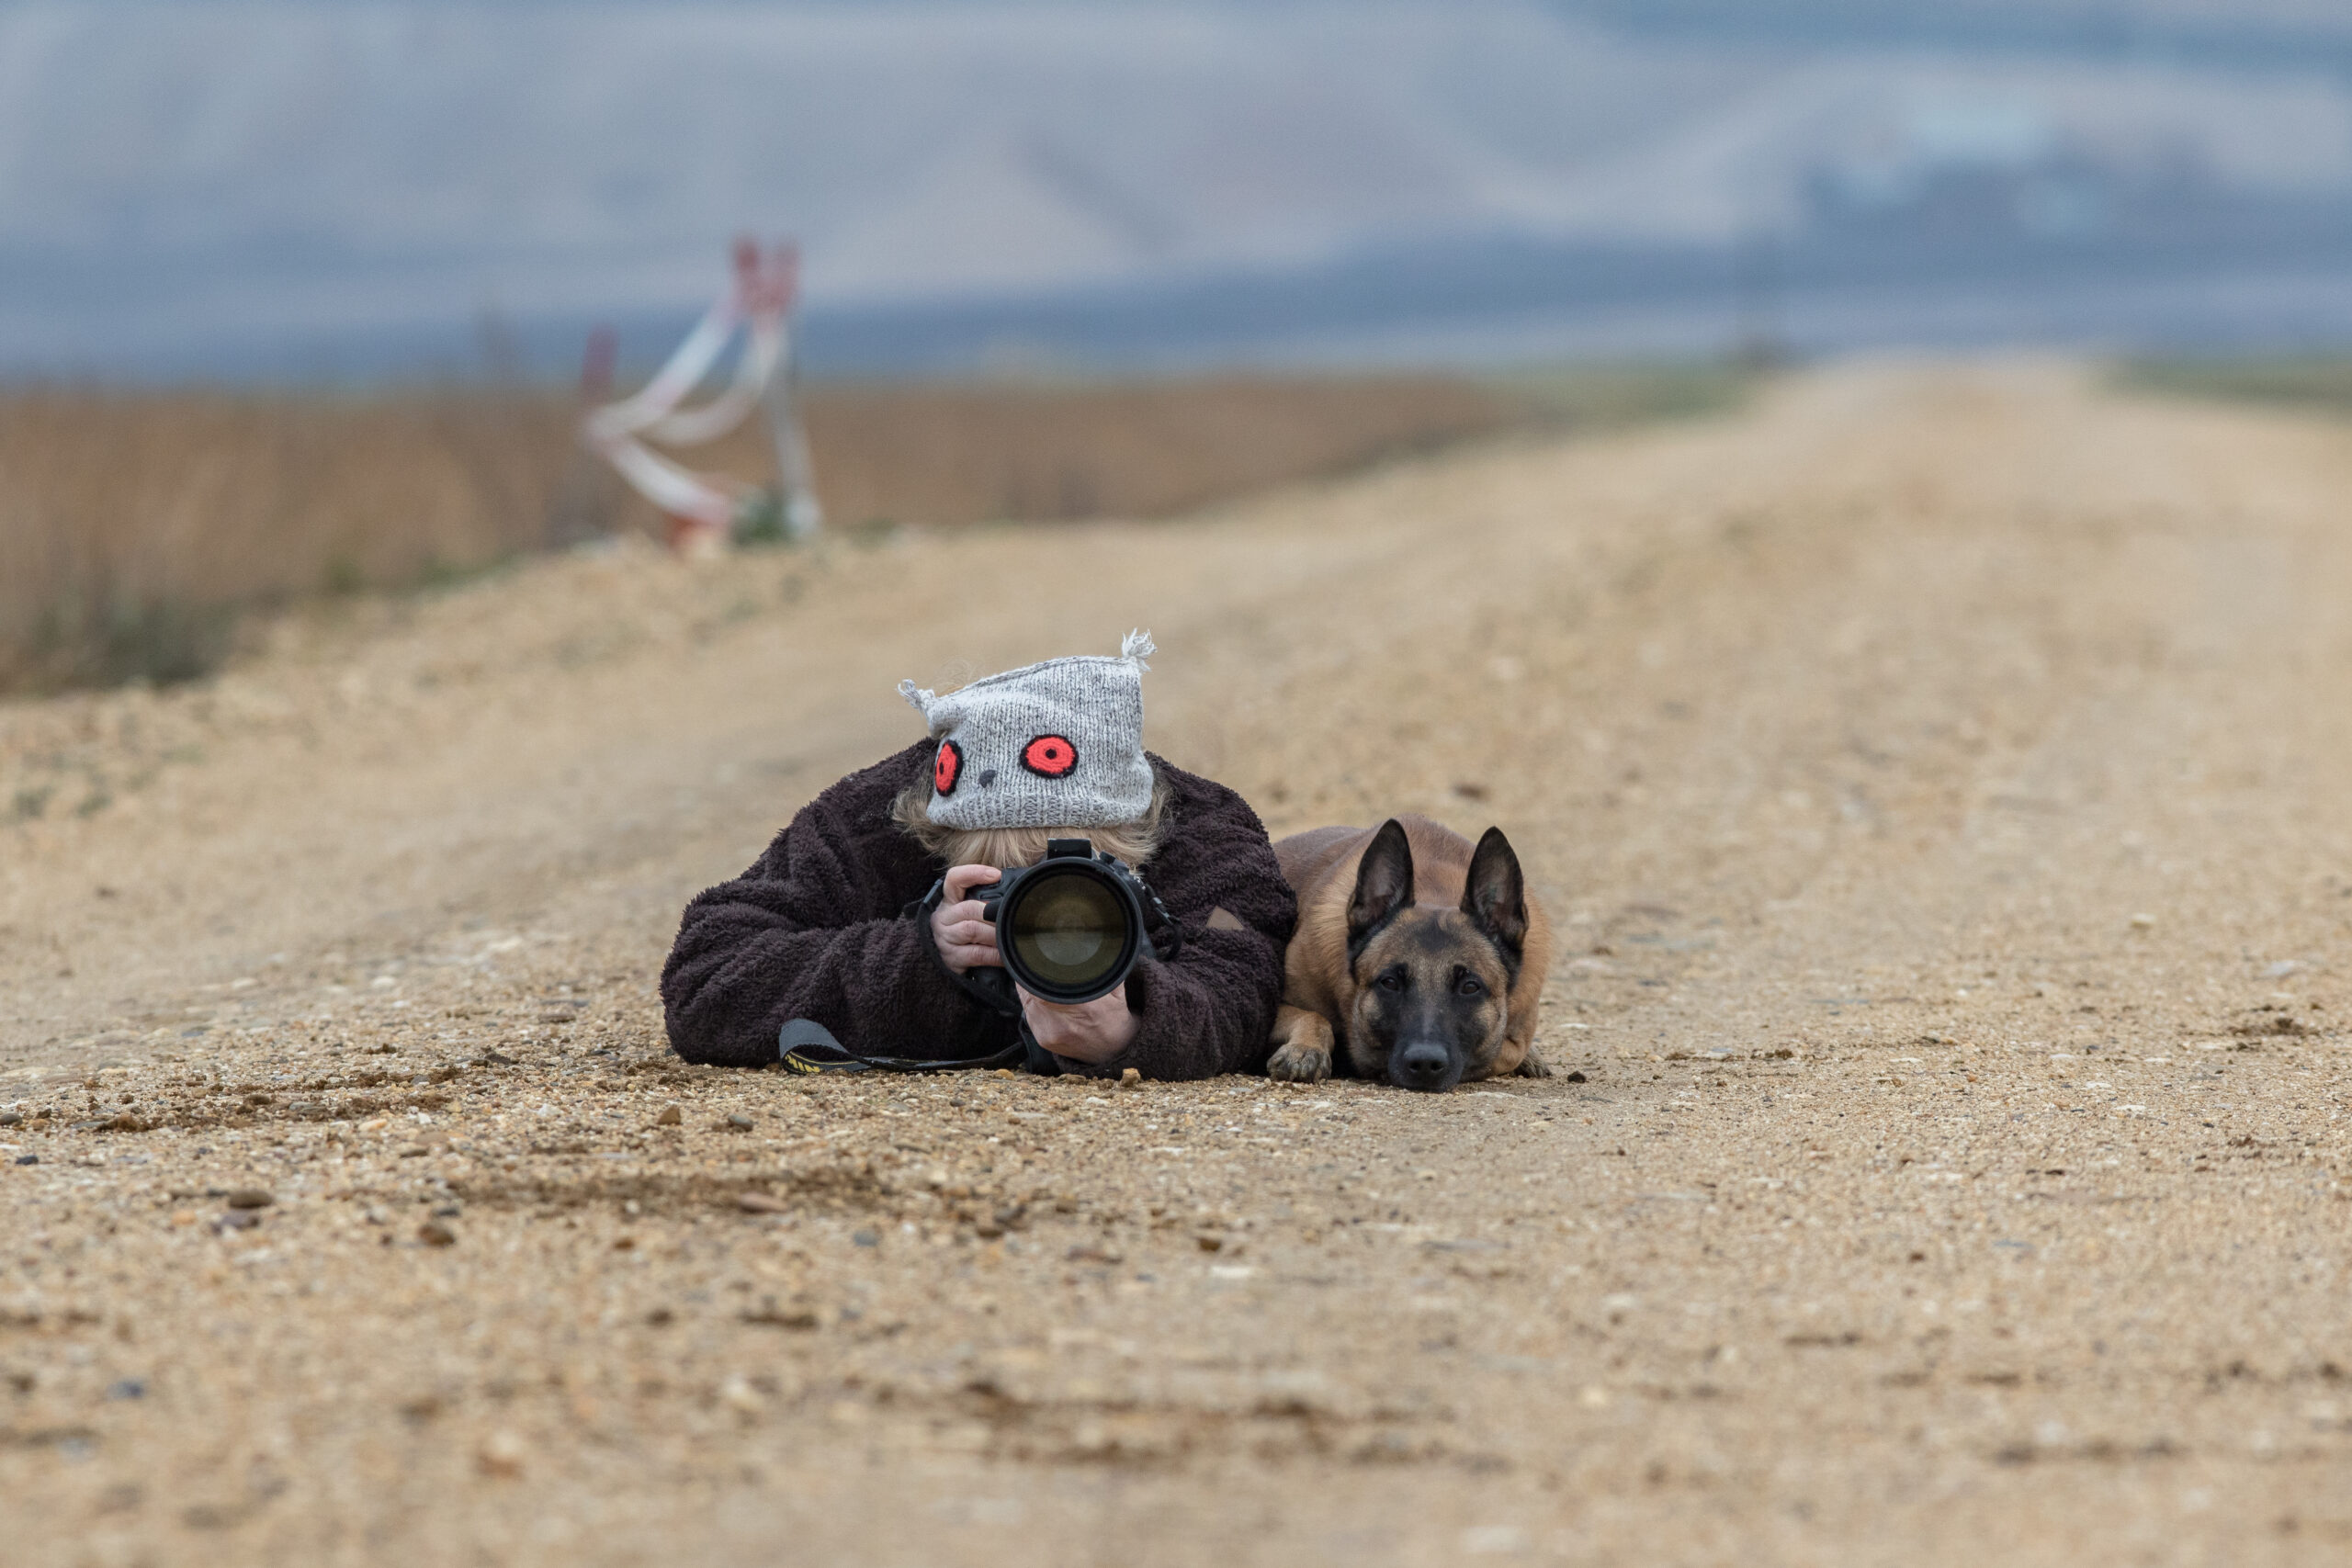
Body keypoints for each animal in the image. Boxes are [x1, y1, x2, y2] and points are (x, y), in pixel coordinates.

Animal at [1261, 818, 1552, 1100]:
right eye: (1389, 982)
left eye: (1470, 987)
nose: (1425, 1064)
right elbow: (1314, 1017)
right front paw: (1305, 1048)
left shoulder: (1514, 1037)